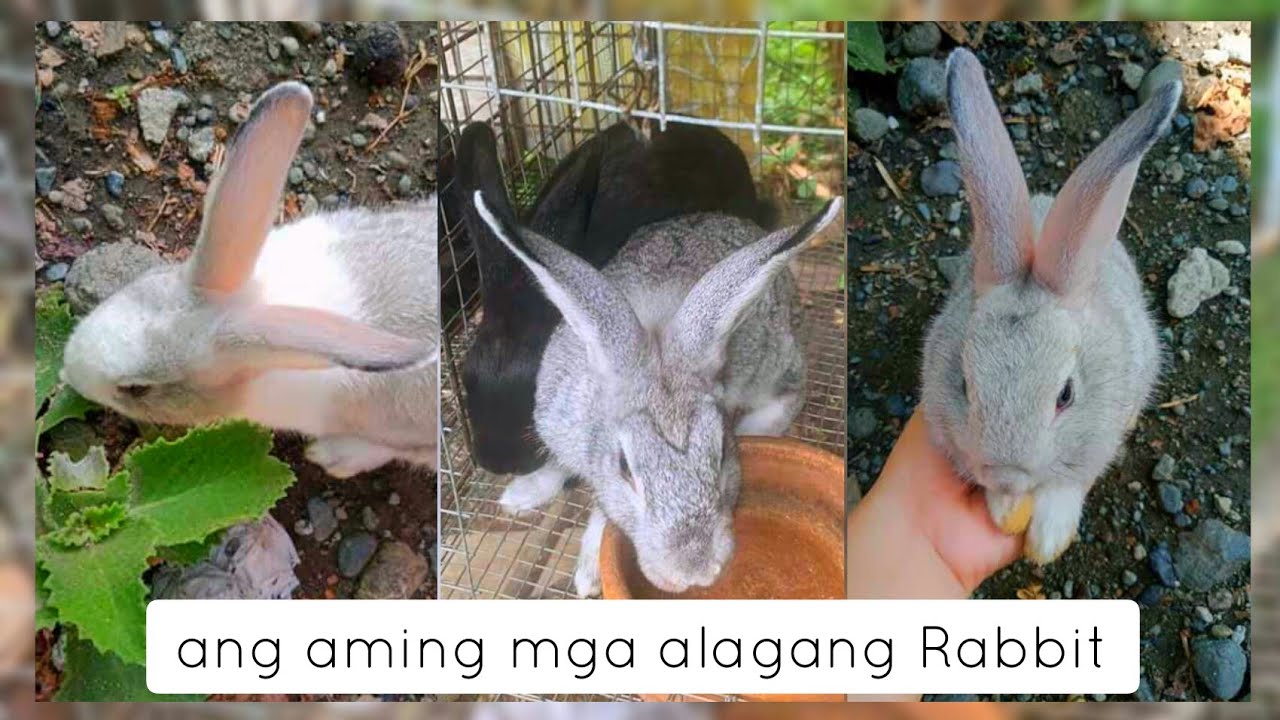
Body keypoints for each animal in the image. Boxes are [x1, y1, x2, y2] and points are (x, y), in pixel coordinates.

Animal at [474, 188, 842, 597]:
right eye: (624, 467)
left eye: (722, 453)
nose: (694, 570)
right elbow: (565, 470)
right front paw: (521, 495)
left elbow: (602, 512)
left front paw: (589, 572)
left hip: (771, 362)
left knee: (789, 394)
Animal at [920, 48, 1178, 565]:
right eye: (964, 385)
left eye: (1066, 396)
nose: (1008, 475)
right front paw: (1004, 509)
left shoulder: (1095, 442)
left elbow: (1070, 483)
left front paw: (1047, 538)